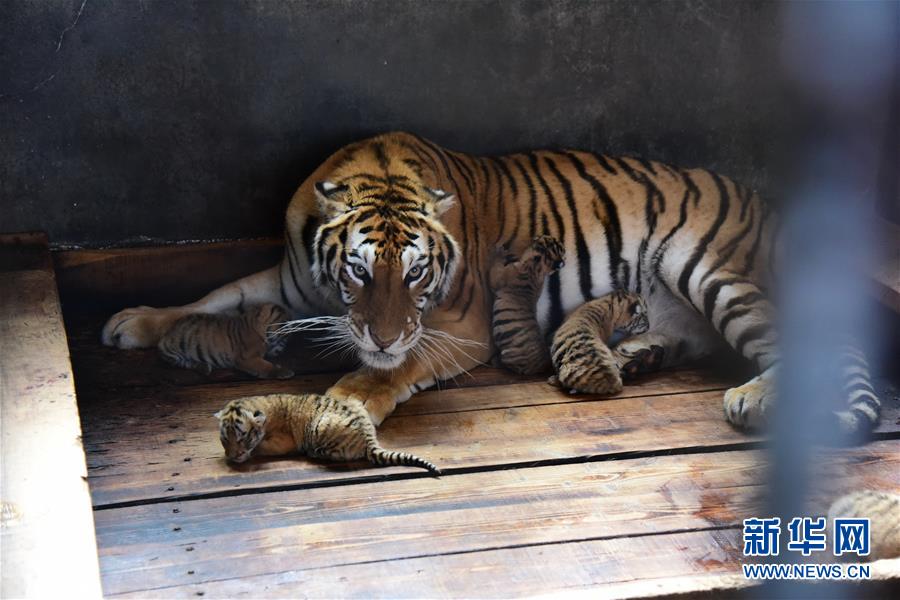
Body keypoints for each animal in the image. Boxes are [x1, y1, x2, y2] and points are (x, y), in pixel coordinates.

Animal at [102, 131, 884, 434]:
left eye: (417, 271)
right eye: (358, 268)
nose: (380, 332)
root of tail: (769, 203)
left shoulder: (459, 329)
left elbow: (393, 369)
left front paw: (346, 399)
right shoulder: (290, 280)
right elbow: (218, 294)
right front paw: (134, 320)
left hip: (713, 271)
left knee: (808, 346)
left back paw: (754, 397)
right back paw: (632, 357)